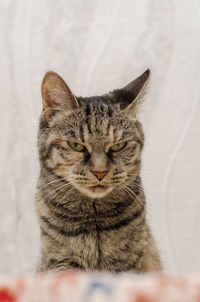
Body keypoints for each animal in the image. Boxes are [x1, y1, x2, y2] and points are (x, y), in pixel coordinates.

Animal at [35, 69, 162, 272]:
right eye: (76, 146)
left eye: (118, 146)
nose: (100, 172)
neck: (92, 219)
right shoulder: (59, 260)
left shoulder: (129, 261)